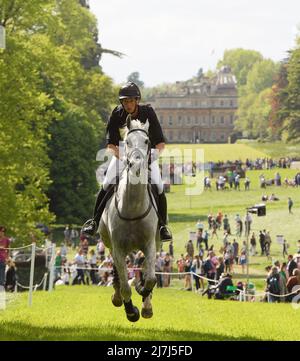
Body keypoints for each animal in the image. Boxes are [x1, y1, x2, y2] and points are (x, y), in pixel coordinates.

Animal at [99, 118, 161, 320]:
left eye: (146, 141)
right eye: (127, 141)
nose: (136, 165)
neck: (133, 206)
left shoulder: (150, 244)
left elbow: (151, 278)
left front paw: (143, 293)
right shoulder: (118, 247)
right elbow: (126, 286)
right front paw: (131, 311)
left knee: (146, 269)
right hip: (110, 243)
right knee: (118, 272)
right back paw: (117, 295)